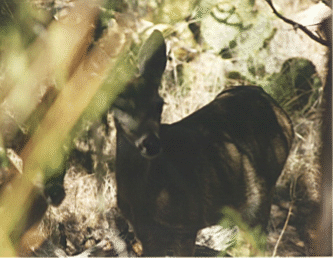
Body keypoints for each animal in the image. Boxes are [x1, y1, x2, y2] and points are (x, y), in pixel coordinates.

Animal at [112, 30, 294, 256]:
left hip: (259, 201)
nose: (151, 144)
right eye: (119, 106)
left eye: (159, 104)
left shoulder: (186, 225)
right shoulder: (144, 232)